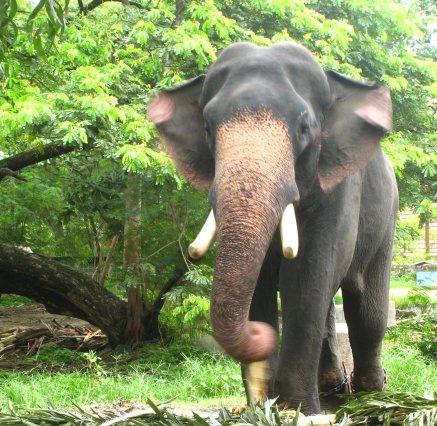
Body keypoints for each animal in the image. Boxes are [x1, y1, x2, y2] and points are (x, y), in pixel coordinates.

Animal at [148, 41, 396, 414]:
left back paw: (370, 396)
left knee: (367, 312)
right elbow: (261, 281)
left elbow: (307, 276)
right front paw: (260, 407)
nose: (259, 332)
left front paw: (296, 410)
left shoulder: (338, 187)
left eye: (304, 128)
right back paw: (333, 391)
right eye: (207, 128)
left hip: (387, 218)